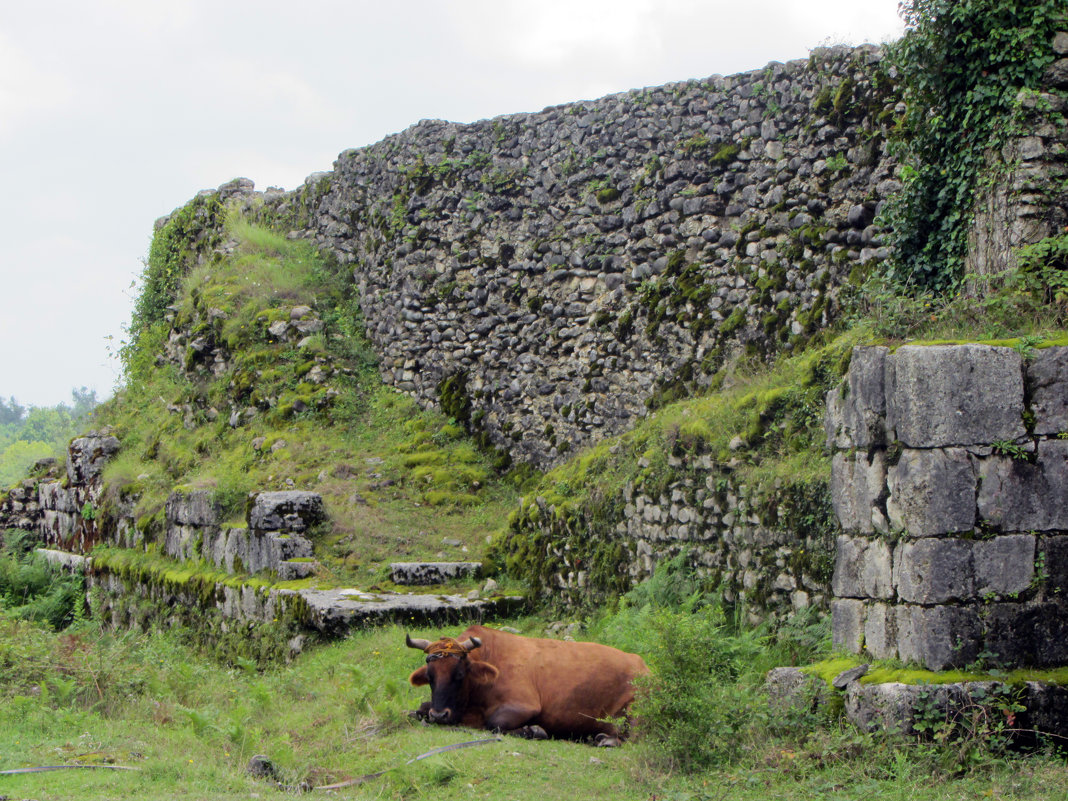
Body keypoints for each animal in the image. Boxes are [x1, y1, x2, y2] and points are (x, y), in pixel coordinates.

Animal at [403, 627, 645, 747]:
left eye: (460, 675)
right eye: (430, 677)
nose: (439, 715)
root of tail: (642, 663)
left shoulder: (524, 705)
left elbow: (495, 723)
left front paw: (533, 730)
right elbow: (420, 708)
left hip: (635, 709)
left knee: (635, 738)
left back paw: (607, 741)